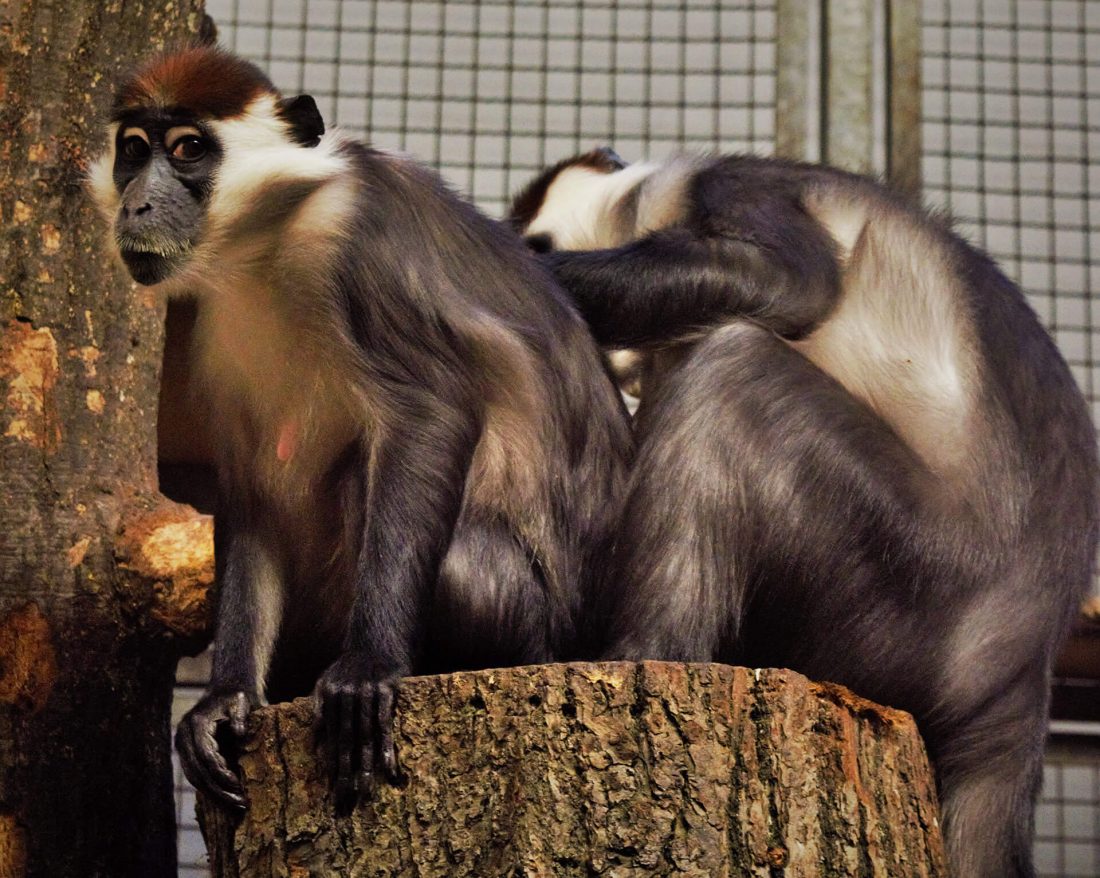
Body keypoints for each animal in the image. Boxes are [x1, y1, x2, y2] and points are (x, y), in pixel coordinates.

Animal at [89, 50, 633, 812]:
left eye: (189, 149)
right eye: (133, 152)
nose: (136, 203)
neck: (269, 240)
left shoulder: (359, 238)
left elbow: (432, 412)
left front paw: (371, 664)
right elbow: (251, 490)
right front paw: (225, 697)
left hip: (524, 612)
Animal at [509, 148, 1099, 878]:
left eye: (541, 240)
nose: (623, 366)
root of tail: (1024, 673)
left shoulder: (734, 183)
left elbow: (786, 283)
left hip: (907, 583)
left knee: (732, 365)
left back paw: (641, 653)